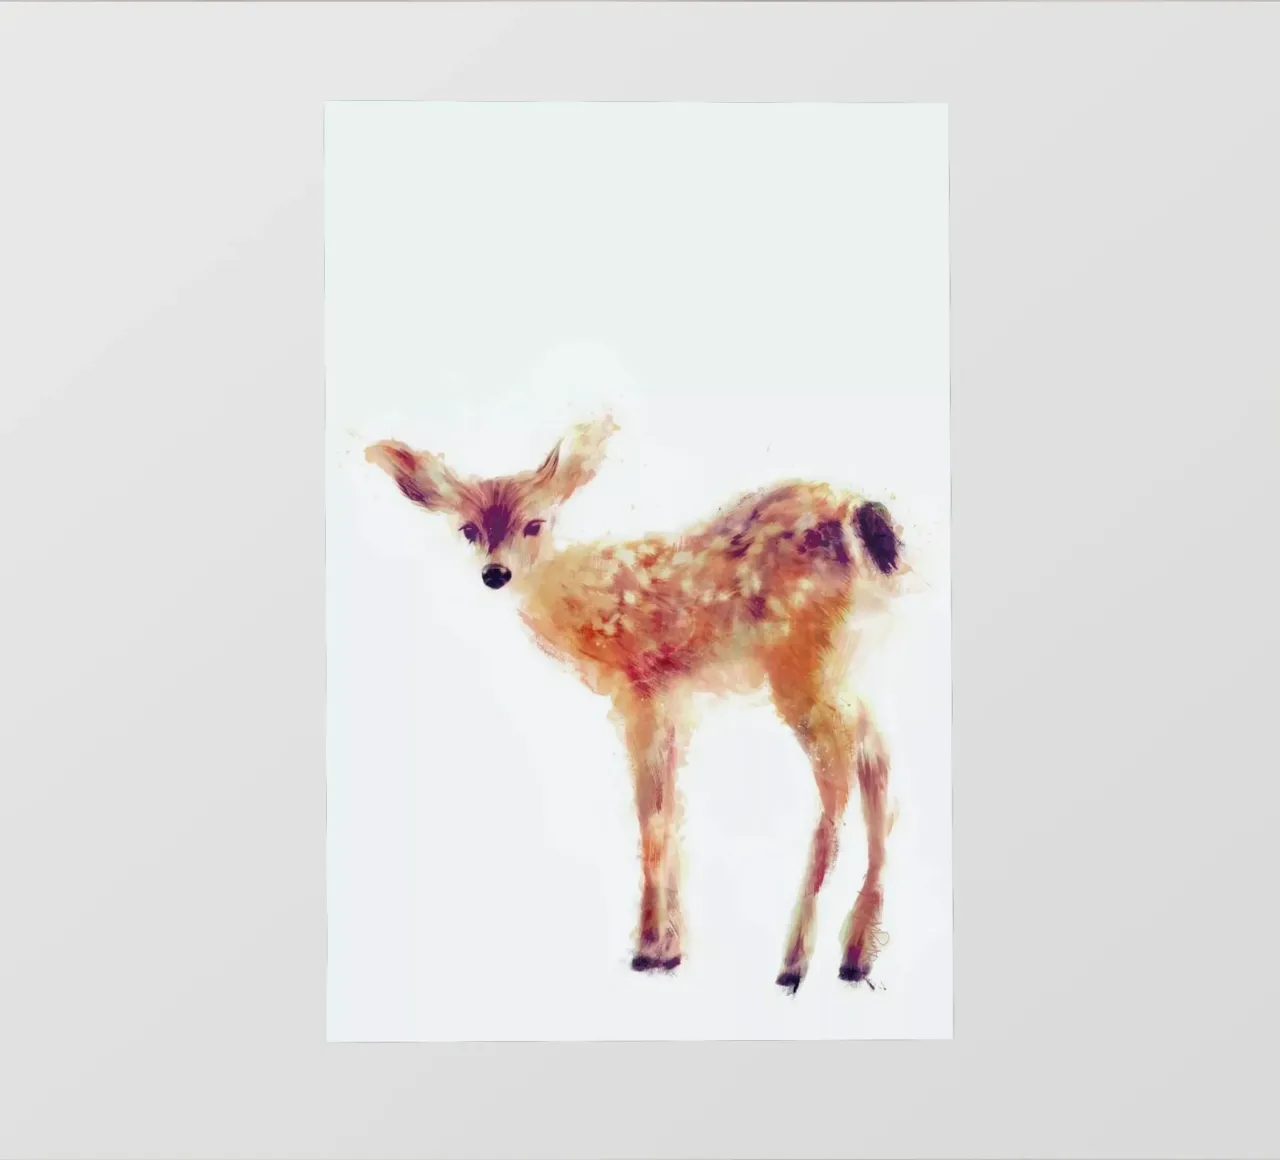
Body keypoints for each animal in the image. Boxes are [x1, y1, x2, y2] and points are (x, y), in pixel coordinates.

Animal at [365, 414, 909, 992]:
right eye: (469, 528)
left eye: (534, 524)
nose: (495, 574)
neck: (588, 604)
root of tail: (866, 516)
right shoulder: (673, 702)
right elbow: (669, 808)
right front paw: (671, 947)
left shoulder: (640, 690)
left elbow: (650, 812)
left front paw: (650, 949)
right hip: (844, 663)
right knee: (876, 754)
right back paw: (855, 955)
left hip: (800, 661)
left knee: (837, 774)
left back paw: (794, 961)